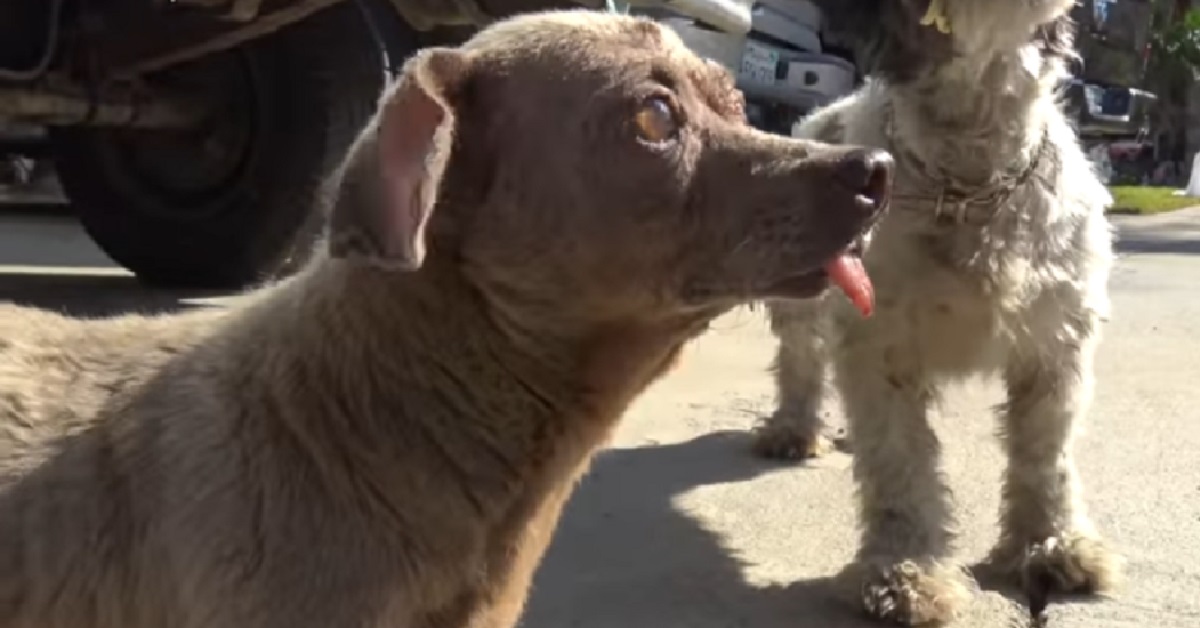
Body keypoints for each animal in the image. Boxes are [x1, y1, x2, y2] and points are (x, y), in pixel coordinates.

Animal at [758, 0, 1123, 624]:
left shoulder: (1057, 340)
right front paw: (904, 572)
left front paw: (1050, 544)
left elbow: (1044, 453)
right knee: (800, 359)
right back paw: (793, 427)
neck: (968, 179)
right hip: (800, 298)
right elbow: (899, 463)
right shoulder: (880, 345)